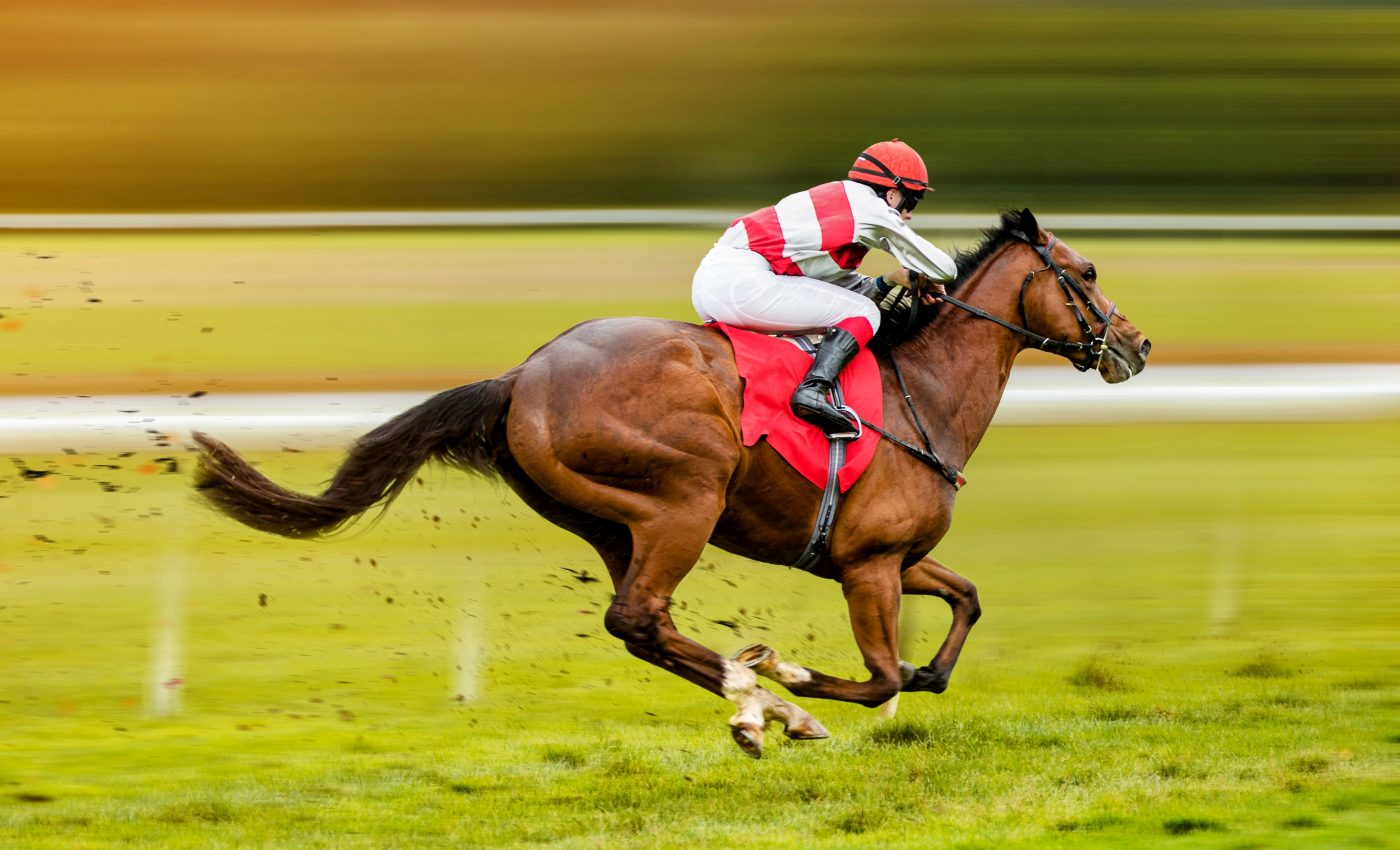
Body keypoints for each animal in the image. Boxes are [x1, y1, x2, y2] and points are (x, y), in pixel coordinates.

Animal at [193, 208, 1151, 758]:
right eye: (1088, 274)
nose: (1137, 346)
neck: (925, 392)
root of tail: (523, 375)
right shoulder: (869, 564)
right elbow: (882, 677)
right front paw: (796, 682)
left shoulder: (891, 555)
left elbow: (961, 612)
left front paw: (832, 686)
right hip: (686, 498)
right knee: (640, 618)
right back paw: (767, 702)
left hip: (610, 524)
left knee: (642, 626)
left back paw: (754, 703)